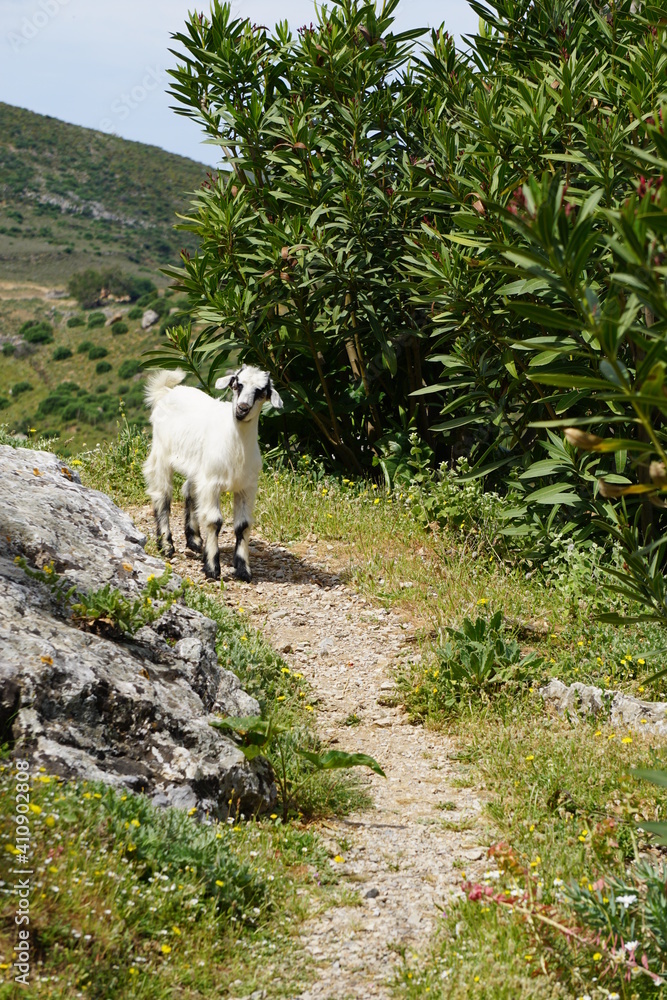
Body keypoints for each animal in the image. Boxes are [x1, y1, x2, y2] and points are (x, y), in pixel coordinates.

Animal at [143, 365, 282, 581]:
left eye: (261, 391)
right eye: (237, 384)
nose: (242, 408)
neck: (237, 446)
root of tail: (166, 392)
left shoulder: (246, 487)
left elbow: (243, 525)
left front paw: (243, 570)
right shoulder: (211, 483)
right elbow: (214, 520)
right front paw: (212, 568)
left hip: (197, 466)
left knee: (189, 491)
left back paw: (194, 539)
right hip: (161, 453)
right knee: (162, 496)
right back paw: (166, 545)